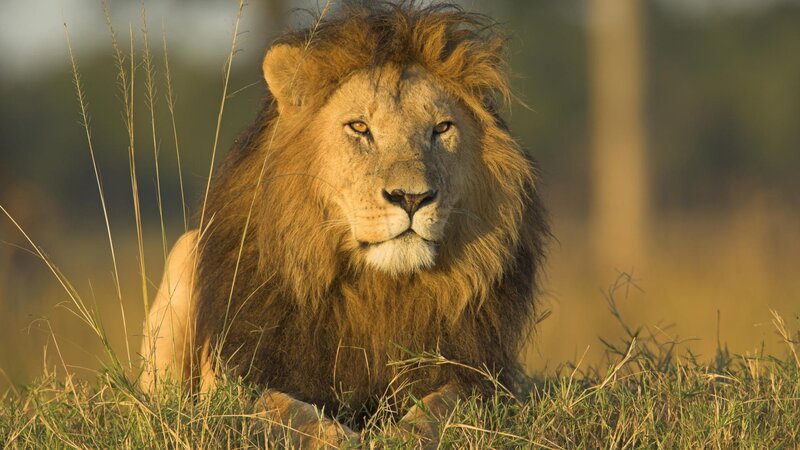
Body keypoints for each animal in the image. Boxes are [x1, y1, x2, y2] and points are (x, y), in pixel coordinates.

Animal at [140, 1, 549, 447]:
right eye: (359, 127)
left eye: (441, 129)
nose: (411, 198)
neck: (379, 290)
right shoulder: (240, 373)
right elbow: (281, 409)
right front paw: (334, 437)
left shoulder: (482, 374)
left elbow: (444, 405)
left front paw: (403, 435)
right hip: (184, 255)